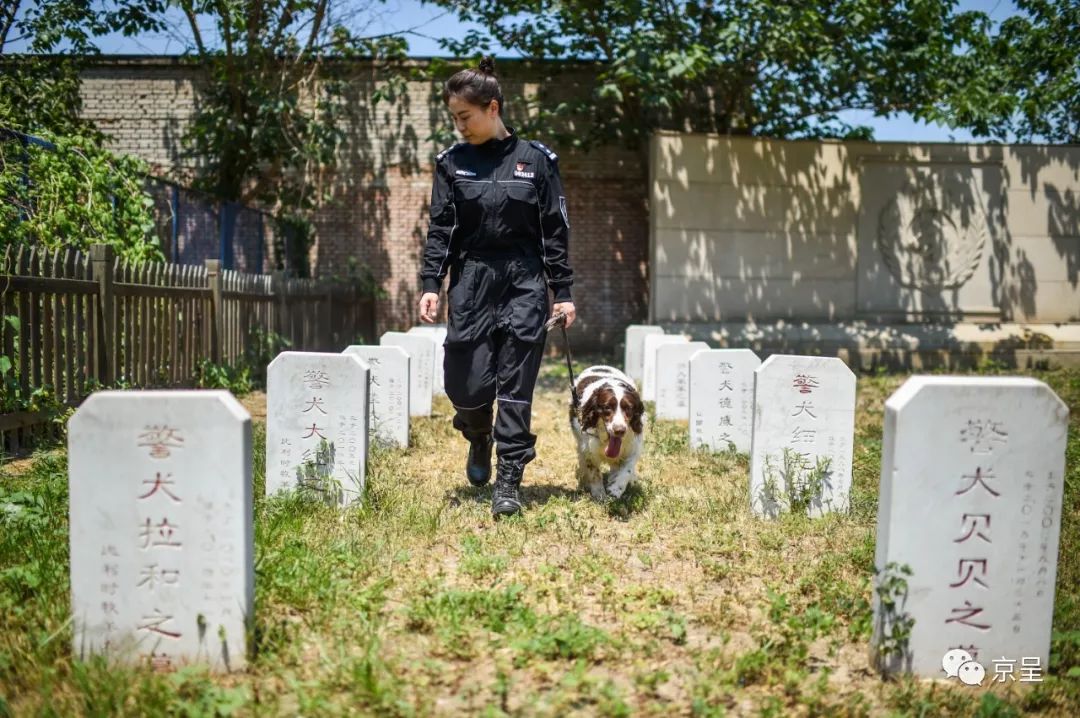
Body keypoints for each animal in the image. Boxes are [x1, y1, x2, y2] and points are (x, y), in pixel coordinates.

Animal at [570, 364, 643, 498]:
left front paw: (616, 488)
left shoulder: (633, 447)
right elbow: (594, 472)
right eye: (607, 407)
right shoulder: (588, 449)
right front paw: (599, 494)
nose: (619, 430)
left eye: (629, 408)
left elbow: (627, 469)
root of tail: (600, 366)